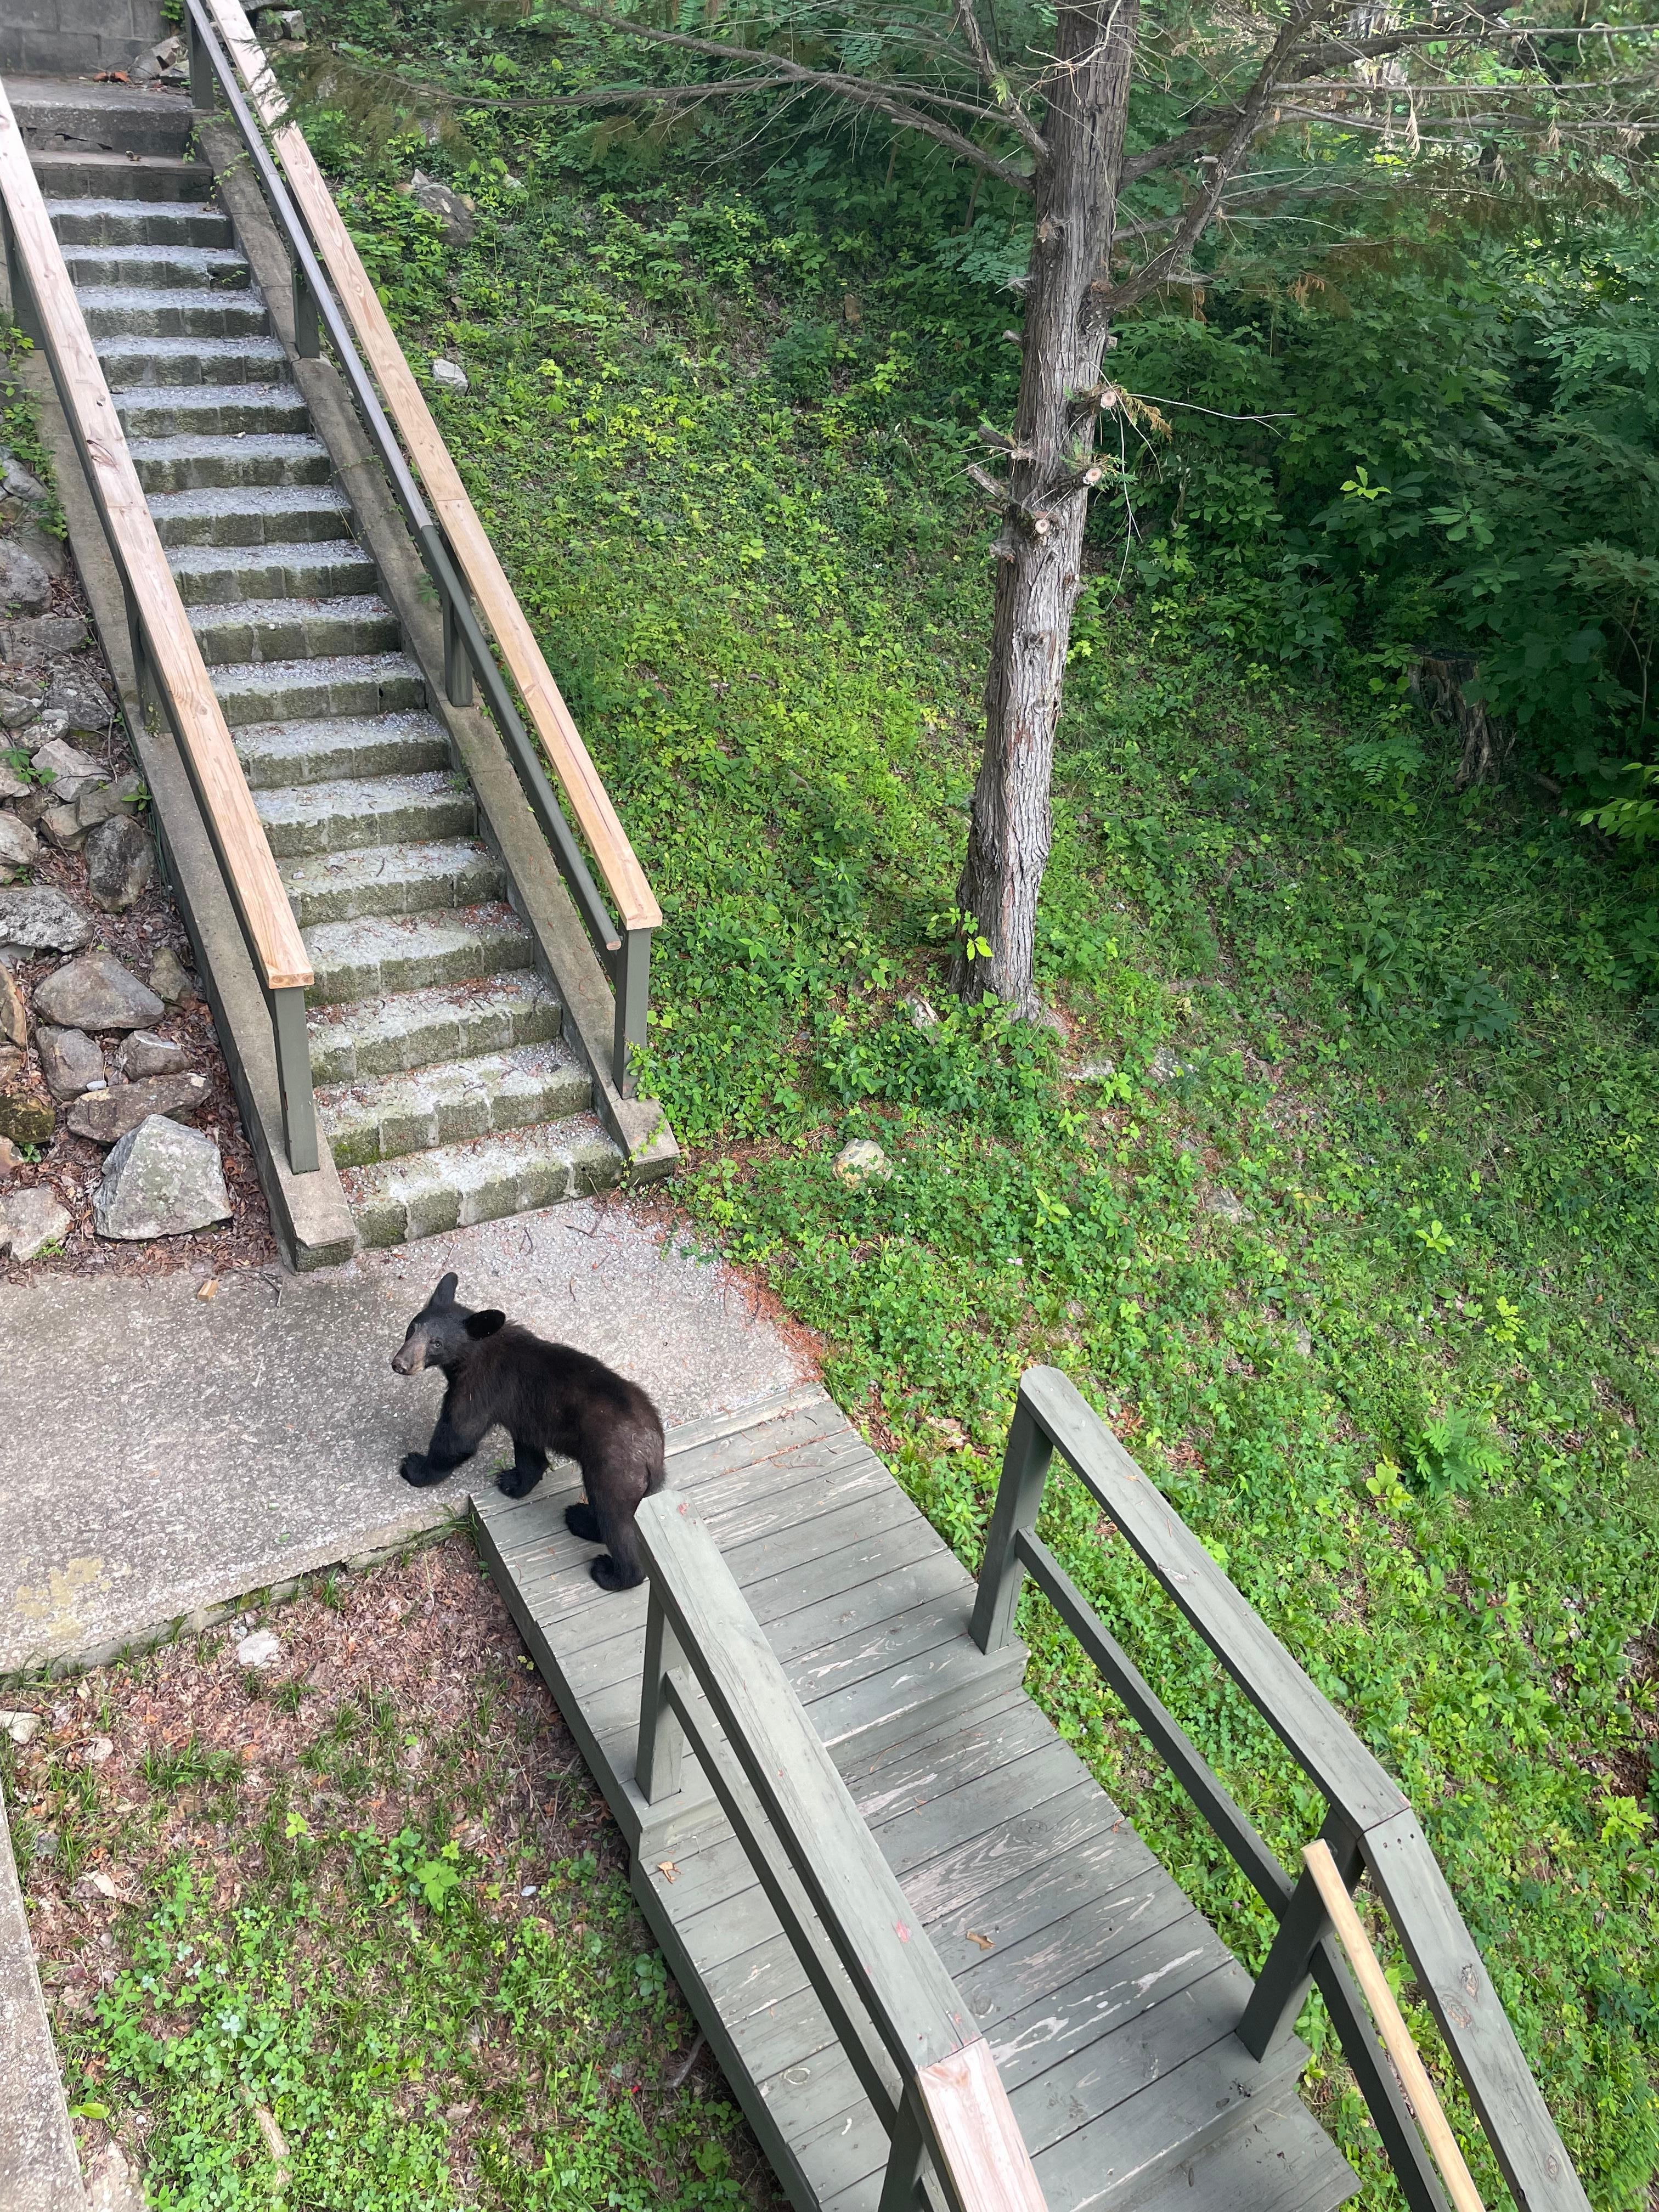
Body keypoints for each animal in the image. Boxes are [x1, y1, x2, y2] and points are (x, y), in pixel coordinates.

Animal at [391, 1271, 666, 1592]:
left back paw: (609, 1570)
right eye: (412, 1328)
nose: (401, 1364)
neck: (475, 1351)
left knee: (616, 1521)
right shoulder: (526, 1417)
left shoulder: (479, 1388)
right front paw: (514, 1482)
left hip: (614, 1470)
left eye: (436, 1343)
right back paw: (582, 1519)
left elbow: (458, 1437)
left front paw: (415, 1467)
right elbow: (529, 1454)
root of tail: (654, 1452)